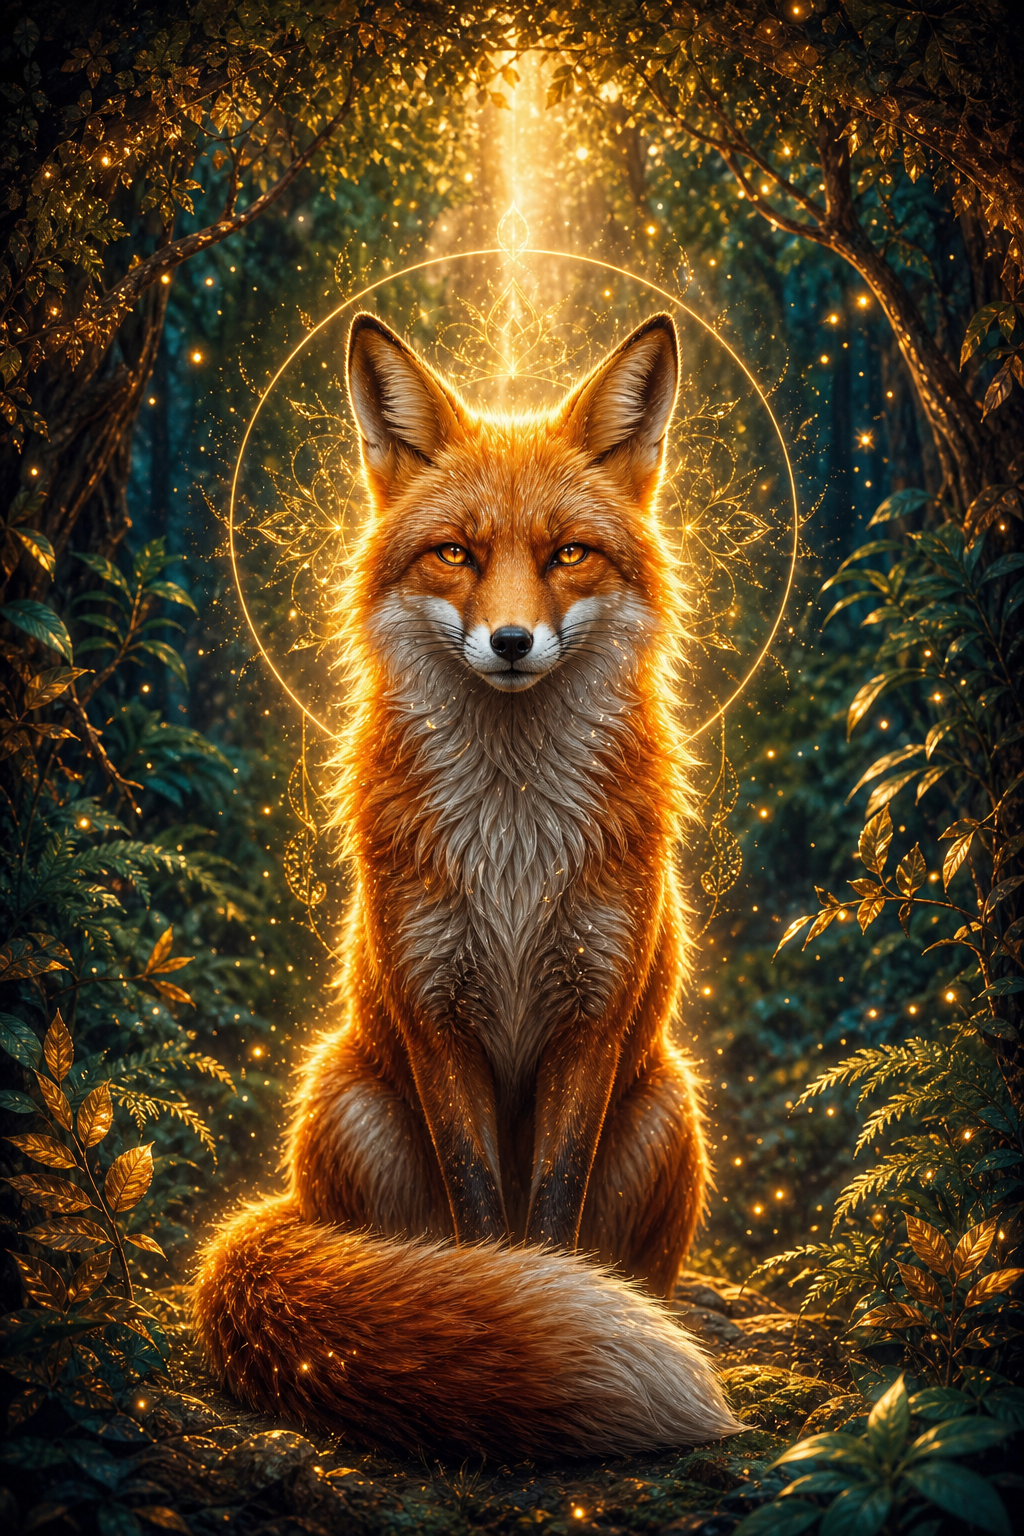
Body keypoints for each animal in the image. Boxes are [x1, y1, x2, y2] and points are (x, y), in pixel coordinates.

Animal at [192, 311, 741, 1459]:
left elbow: (555, 1210)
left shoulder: (592, 1016)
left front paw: (547, 1293)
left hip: (667, 1100)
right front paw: (506, 1302)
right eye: (457, 554)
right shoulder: (436, 1012)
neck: (512, 853)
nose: (512, 640)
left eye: (568, 554)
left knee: (649, 1264)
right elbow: (485, 1216)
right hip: (349, 1095)